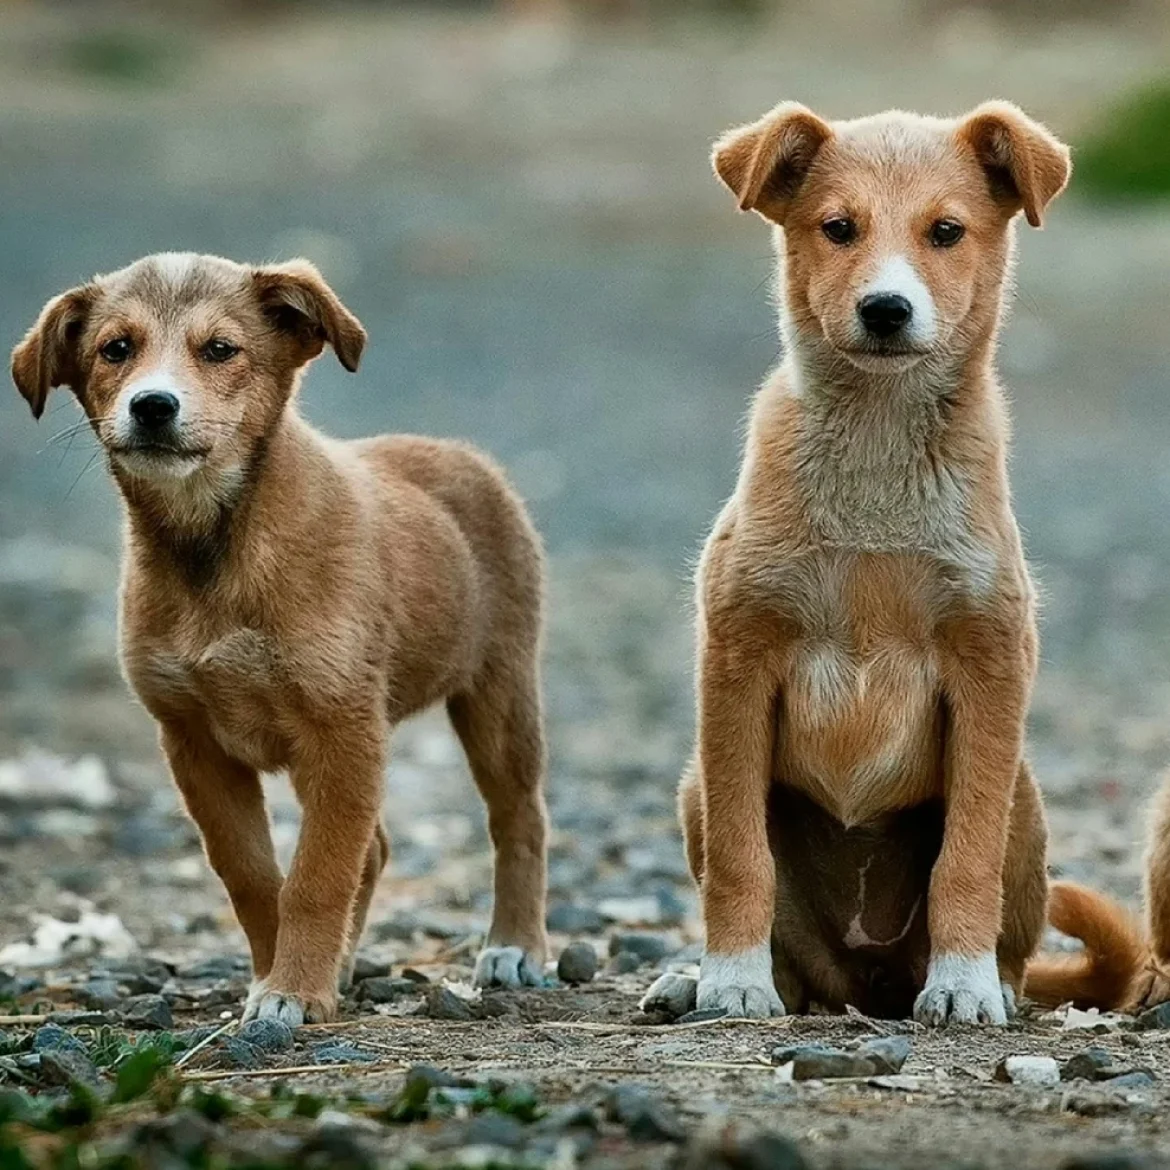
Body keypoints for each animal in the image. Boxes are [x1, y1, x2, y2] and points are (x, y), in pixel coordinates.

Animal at [10, 256, 547, 1024]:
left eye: (220, 349)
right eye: (116, 349)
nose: (153, 406)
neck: (215, 548)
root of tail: (458, 453)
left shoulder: (342, 730)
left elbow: (318, 875)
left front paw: (293, 990)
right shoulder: (194, 742)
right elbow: (255, 876)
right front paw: (279, 978)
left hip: (498, 694)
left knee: (518, 819)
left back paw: (515, 947)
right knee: (376, 849)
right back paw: (345, 964)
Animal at [641, 100, 1071, 1020]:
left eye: (946, 232)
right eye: (839, 228)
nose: (885, 309)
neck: (877, 451)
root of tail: (867, 981)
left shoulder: (991, 664)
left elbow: (965, 859)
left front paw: (963, 985)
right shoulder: (737, 658)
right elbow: (740, 859)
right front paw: (730, 979)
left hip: (1024, 796)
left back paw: (988, 983)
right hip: (696, 785)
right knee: (790, 952)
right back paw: (704, 977)